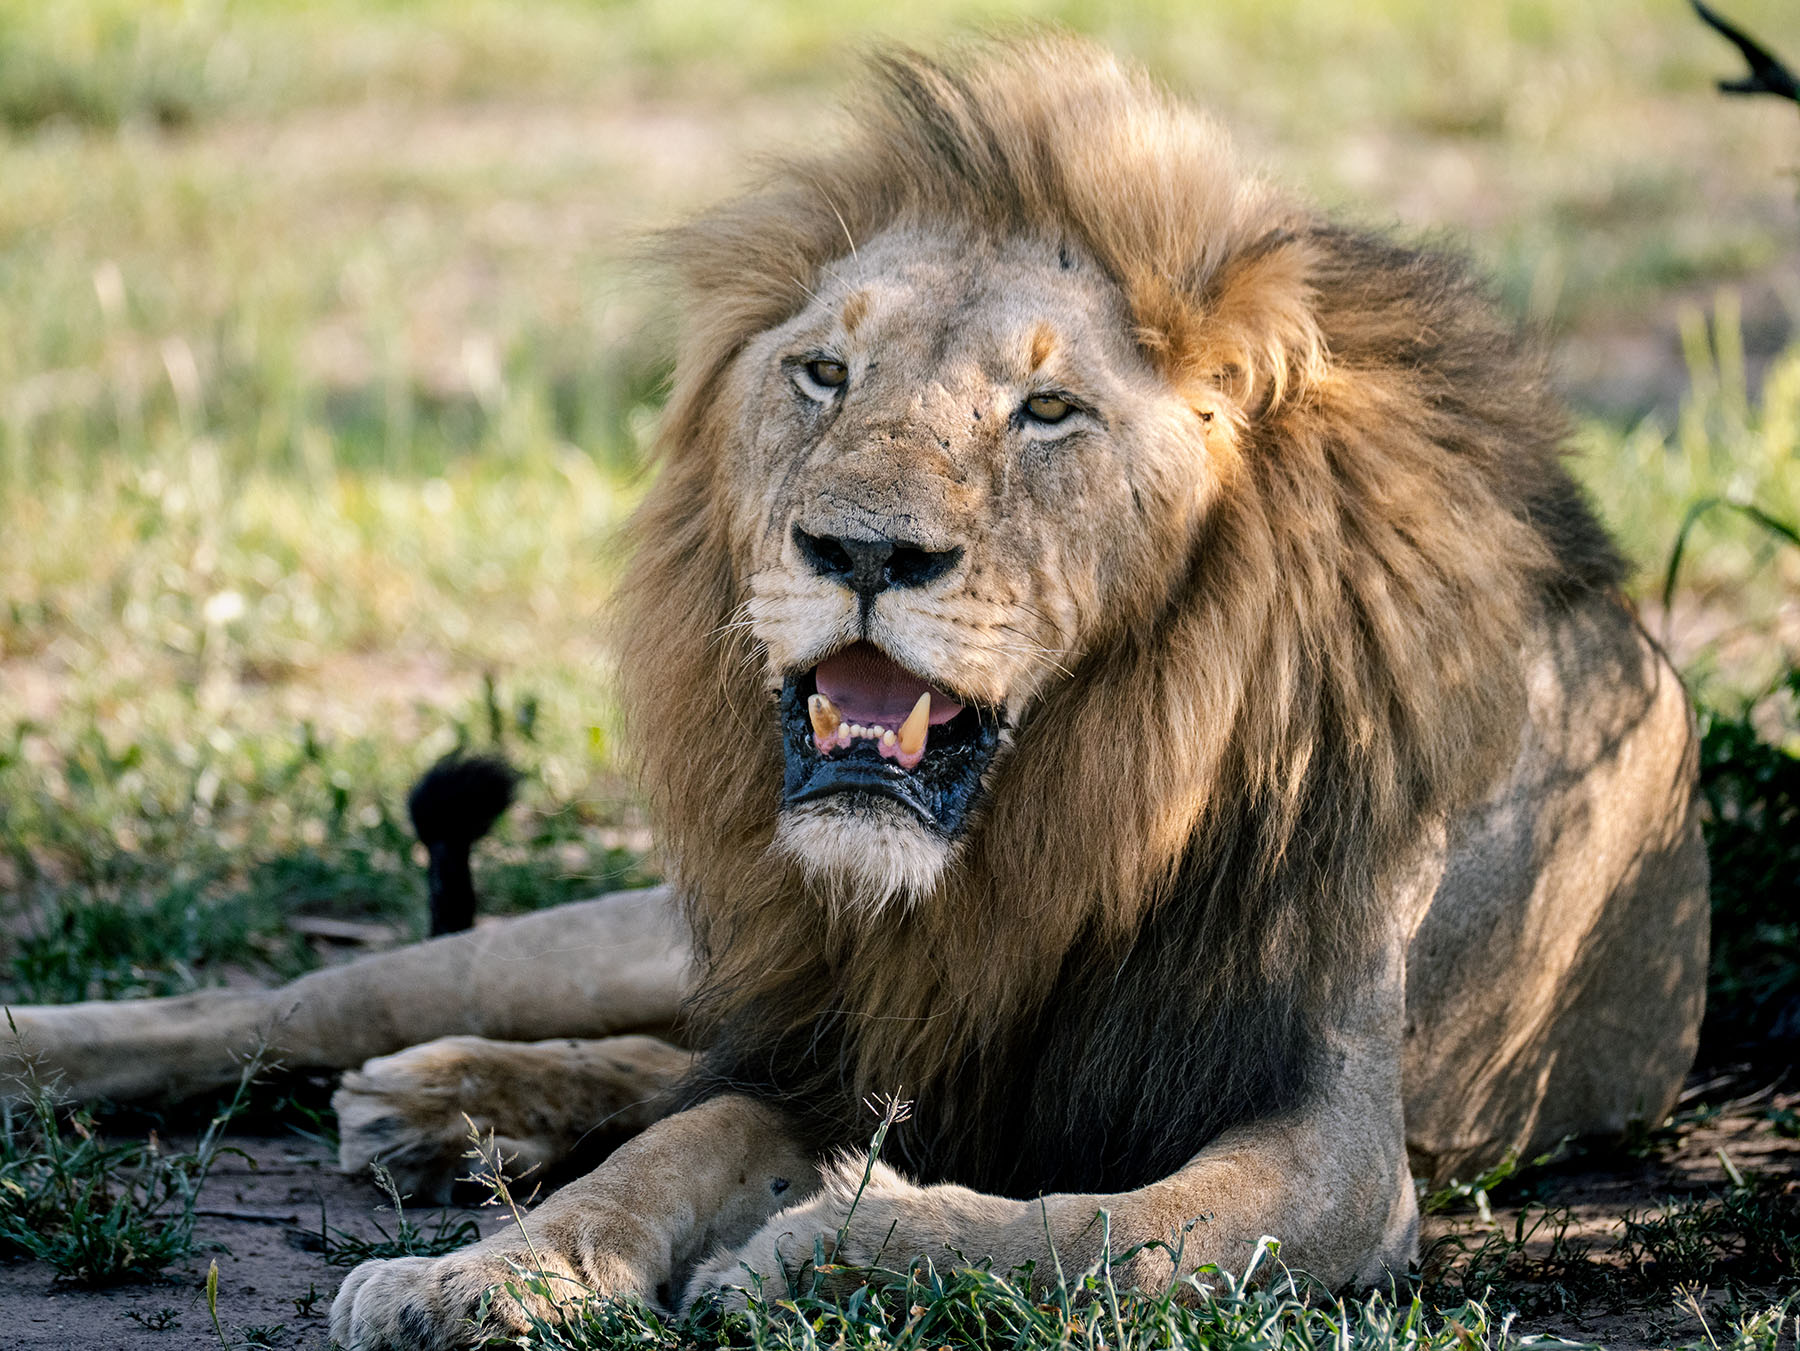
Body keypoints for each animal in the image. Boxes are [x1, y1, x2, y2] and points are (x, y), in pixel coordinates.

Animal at [5, 38, 1708, 1349]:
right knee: (317, 1001)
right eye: (823, 373)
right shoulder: (880, 1035)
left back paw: (454, 1108)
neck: (1071, 814)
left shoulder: (1335, 1156)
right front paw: (486, 1274)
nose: (864, 548)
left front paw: (810, 1251)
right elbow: (674, 1142)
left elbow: (1089, 1227)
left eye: (1049, 411)